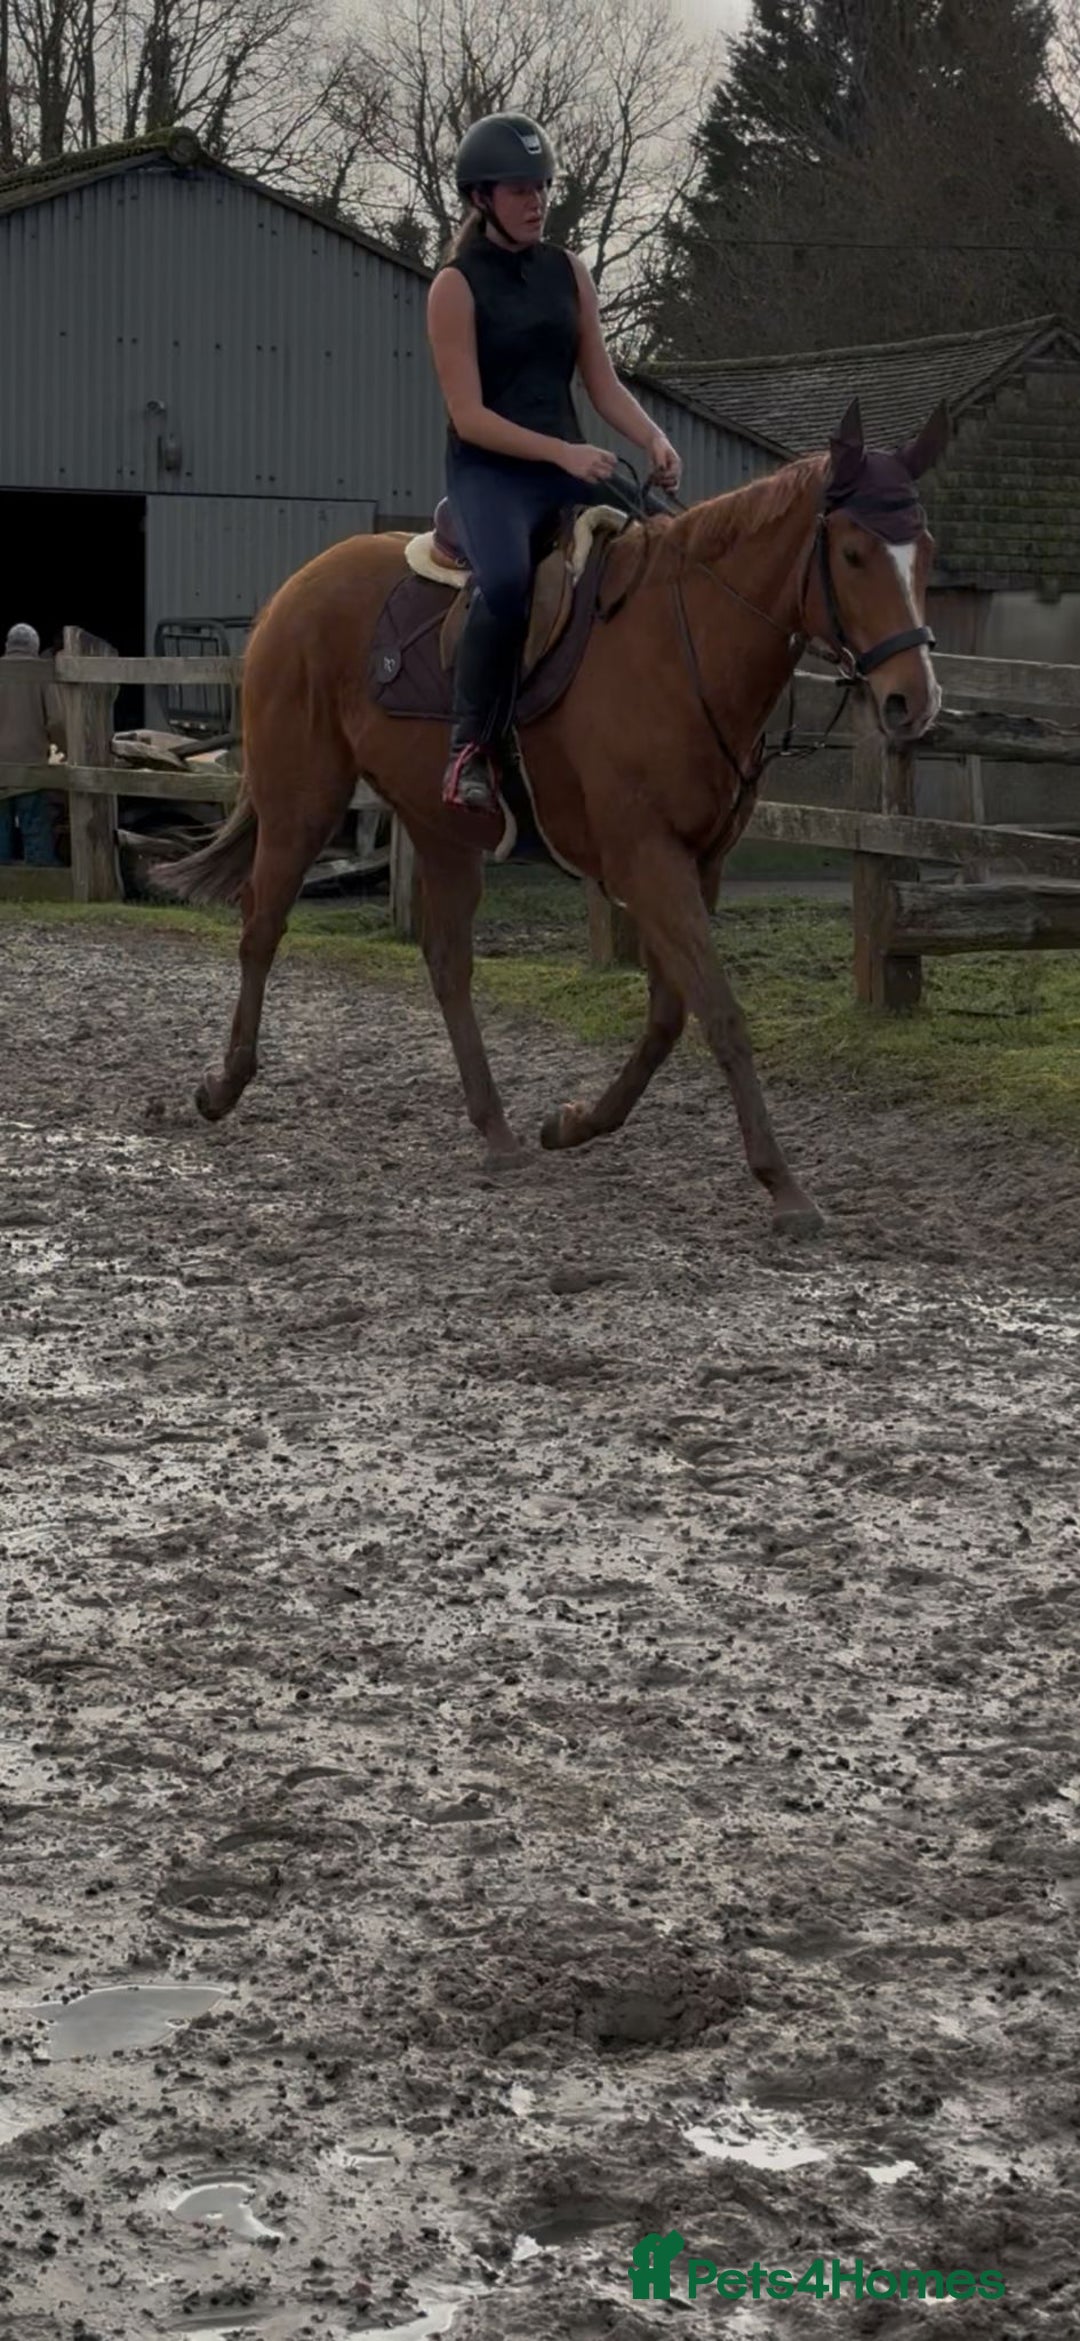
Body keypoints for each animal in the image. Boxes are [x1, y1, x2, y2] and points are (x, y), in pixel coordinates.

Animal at [153, 397, 947, 1235]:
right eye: (854, 553)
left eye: (923, 549)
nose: (913, 700)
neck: (682, 647)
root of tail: (292, 592)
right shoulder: (645, 857)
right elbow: (719, 1011)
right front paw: (783, 1183)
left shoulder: (697, 860)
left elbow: (669, 1013)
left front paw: (573, 1123)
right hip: (301, 804)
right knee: (261, 927)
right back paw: (221, 1087)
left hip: (440, 829)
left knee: (447, 964)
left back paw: (496, 1130)